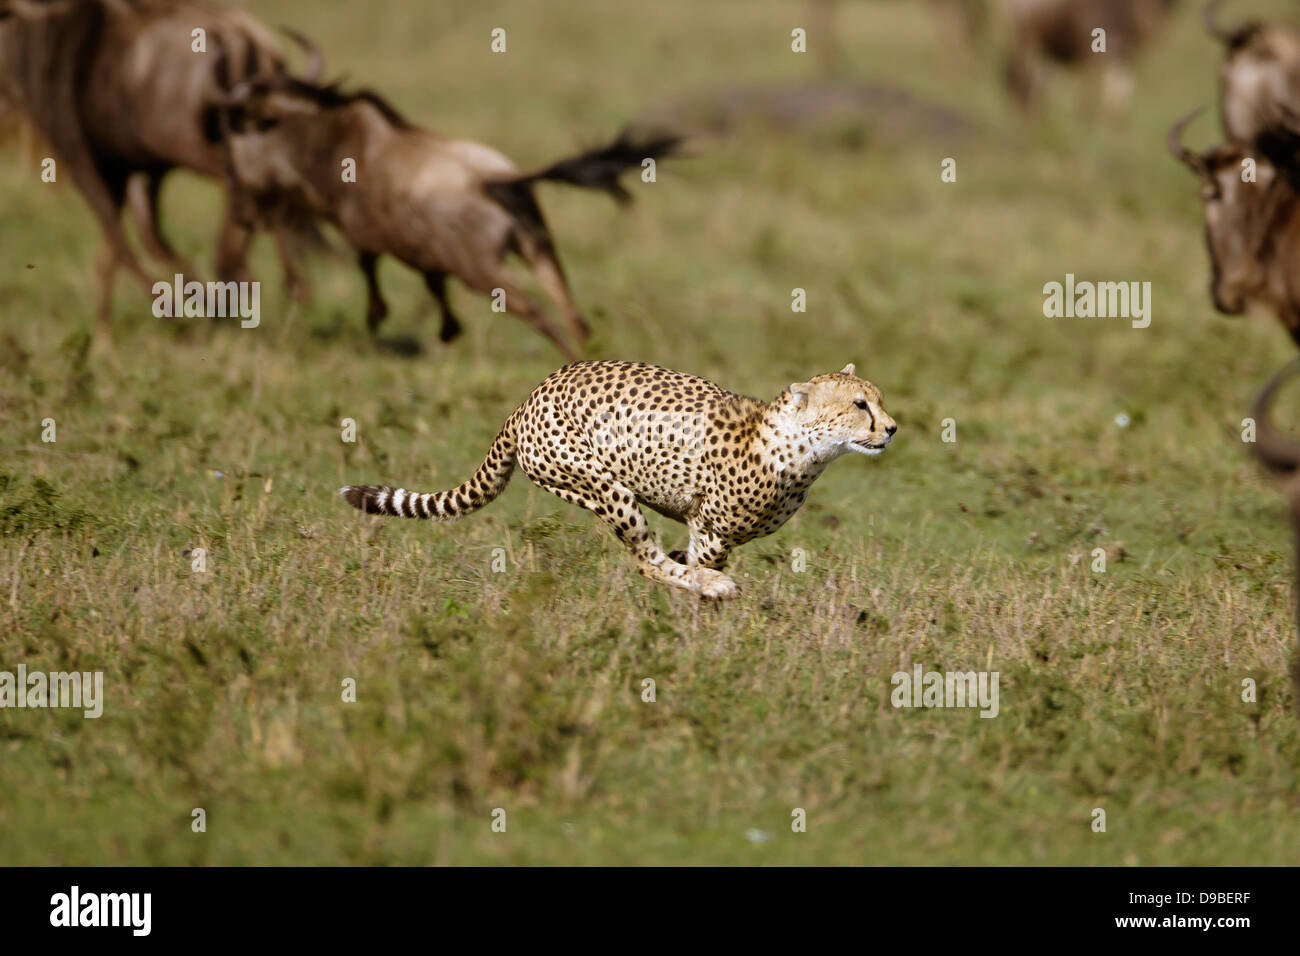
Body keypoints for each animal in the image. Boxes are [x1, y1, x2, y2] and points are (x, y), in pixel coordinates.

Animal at [340, 361, 899, 598]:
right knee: (644, 559)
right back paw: (713, 587)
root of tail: (530, 396)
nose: (892, 428)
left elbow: (682, 556)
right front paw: (704, 603)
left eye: (877, 399)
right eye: (860, 405)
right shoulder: (710, 531)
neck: (799, 448)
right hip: (599, 484)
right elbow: (690, 564)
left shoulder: (709, 533)